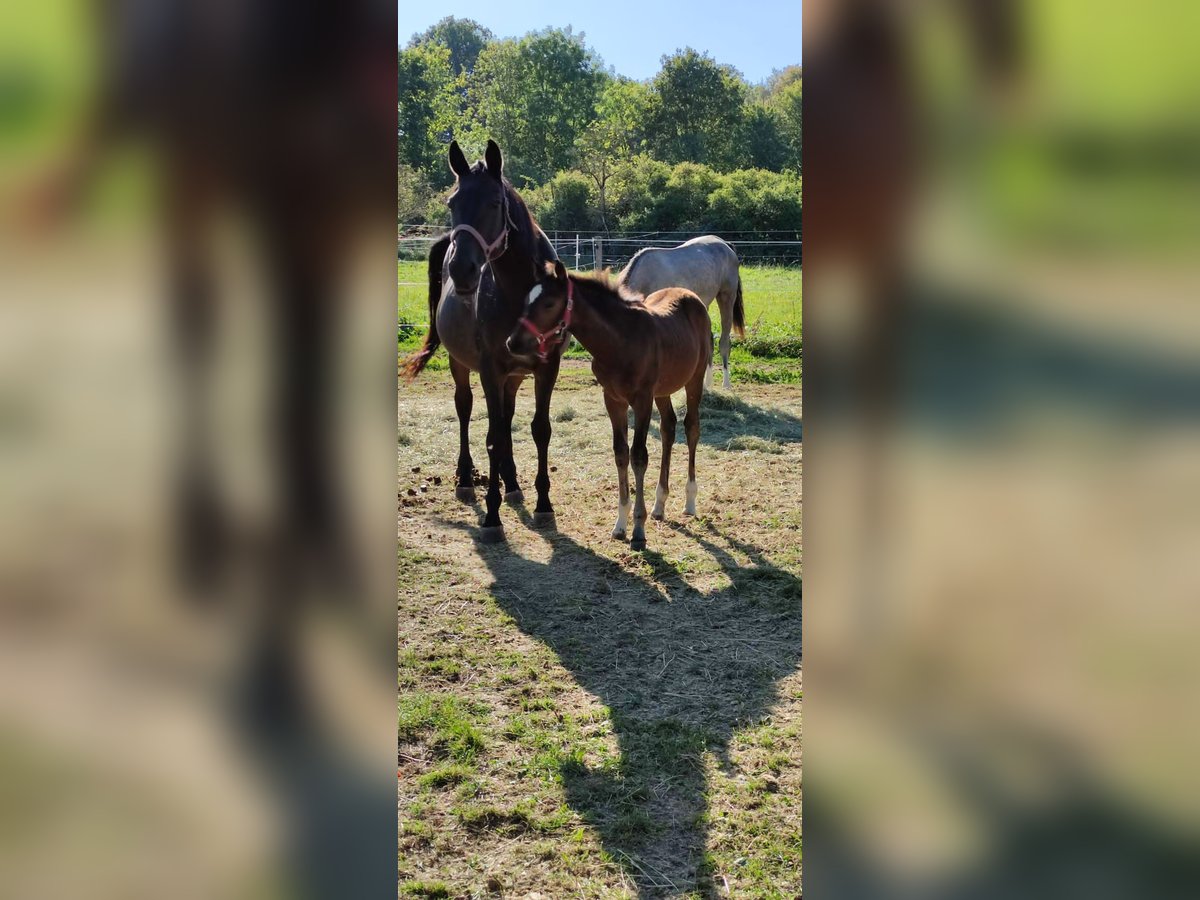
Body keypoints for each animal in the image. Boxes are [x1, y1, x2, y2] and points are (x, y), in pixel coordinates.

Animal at [506, 262, 710, 549]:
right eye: (526, 300)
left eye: (548, 303)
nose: (513, 342)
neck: (621, 341)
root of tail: (691, 297)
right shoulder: (613, 400)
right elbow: (620, 454)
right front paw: (621, 525)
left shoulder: (642, 399)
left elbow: (638, 457)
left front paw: (638, 530)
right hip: (663, 389)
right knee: (668, 429)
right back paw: (660, 505)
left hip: (694, 379)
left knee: (692, 428)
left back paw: (690, 501)